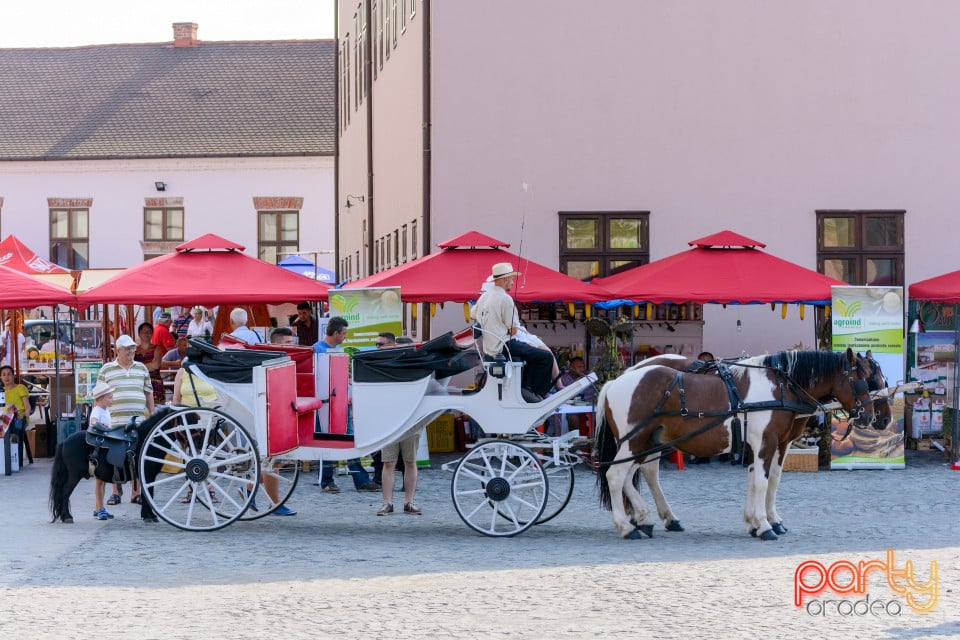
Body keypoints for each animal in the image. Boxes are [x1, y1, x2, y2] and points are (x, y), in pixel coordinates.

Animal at [600, 350, 876, 540]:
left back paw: (645, 518)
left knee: (632, 476)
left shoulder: (764, 445)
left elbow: (759, 480)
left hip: (643, 443)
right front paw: (764, 525)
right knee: (616, 475)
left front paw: (755, 521)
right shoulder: (766, 442)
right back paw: (626, 526)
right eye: (861, 380)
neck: (780, 387)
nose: (873, 417)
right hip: (633, 441)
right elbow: (763, 482)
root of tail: (616, 381)